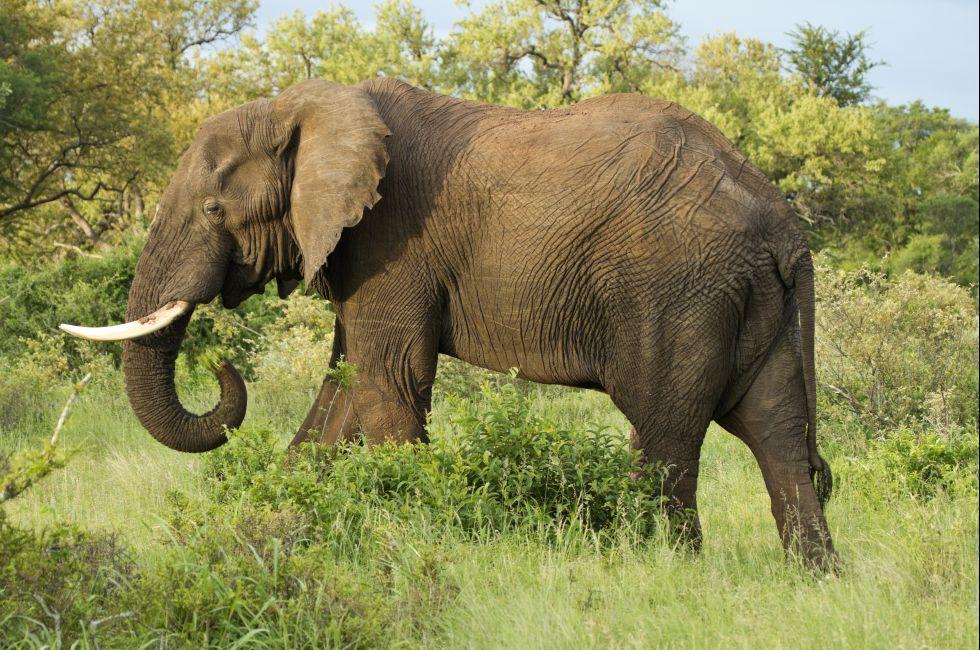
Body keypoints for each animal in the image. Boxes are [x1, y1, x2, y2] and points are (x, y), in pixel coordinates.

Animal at [61, 78, 836, 568]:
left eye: (214, 210)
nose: (221, 366)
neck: (303, 107)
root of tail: (783, 225)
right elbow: (346, 390)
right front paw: (274, 527)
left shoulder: (393, 240)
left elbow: (391, 383)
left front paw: (414, 534)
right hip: (753, 304)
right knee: (777, 432)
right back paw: (814, 578)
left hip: (678, 293)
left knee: (665, 435)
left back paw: (662, 568)